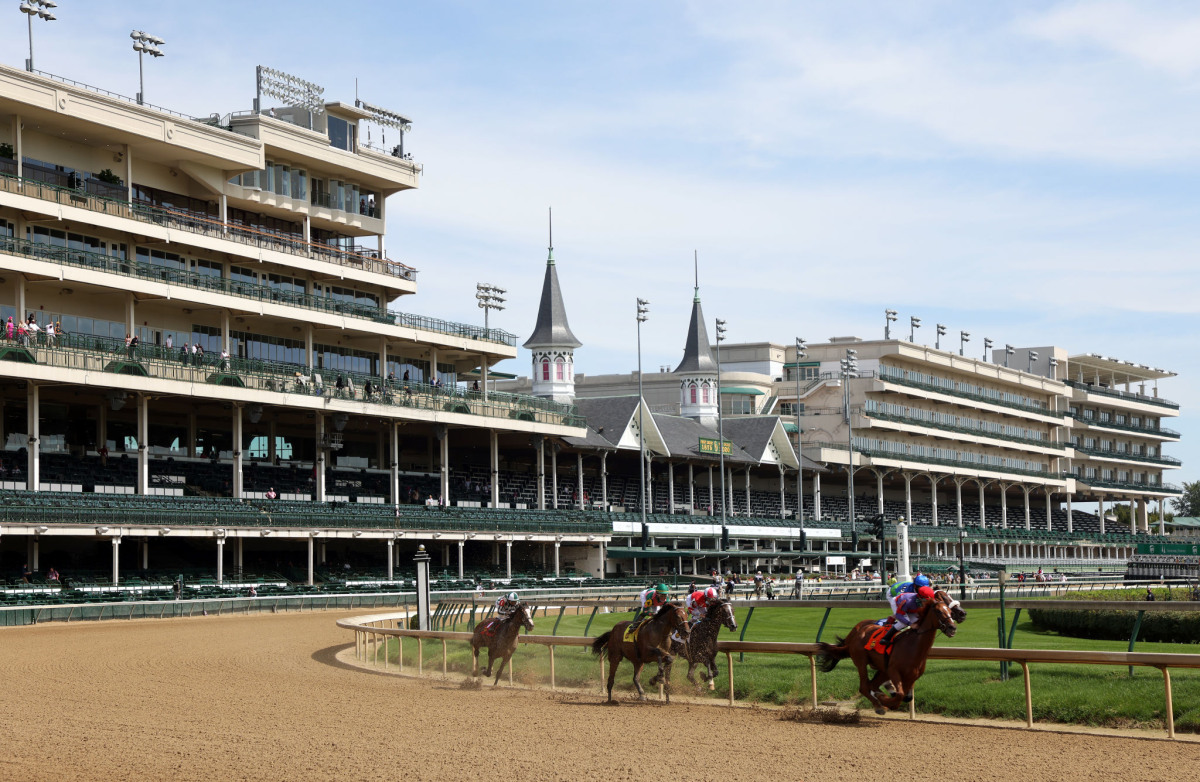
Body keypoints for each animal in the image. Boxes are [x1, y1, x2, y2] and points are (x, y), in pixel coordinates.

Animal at [816, 592, 955, 714]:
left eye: (950, 611)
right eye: (939, 611)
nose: (952, 628)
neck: (914, 647)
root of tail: (858, 632)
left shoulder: (911, 678)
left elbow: (906, 697)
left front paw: (885, 697)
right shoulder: (893, 671)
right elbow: (900, 695)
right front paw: (884, 700)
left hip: (882, 669)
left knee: (872, 685)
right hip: (861, 661)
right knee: (864, 687)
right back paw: (879, 706)